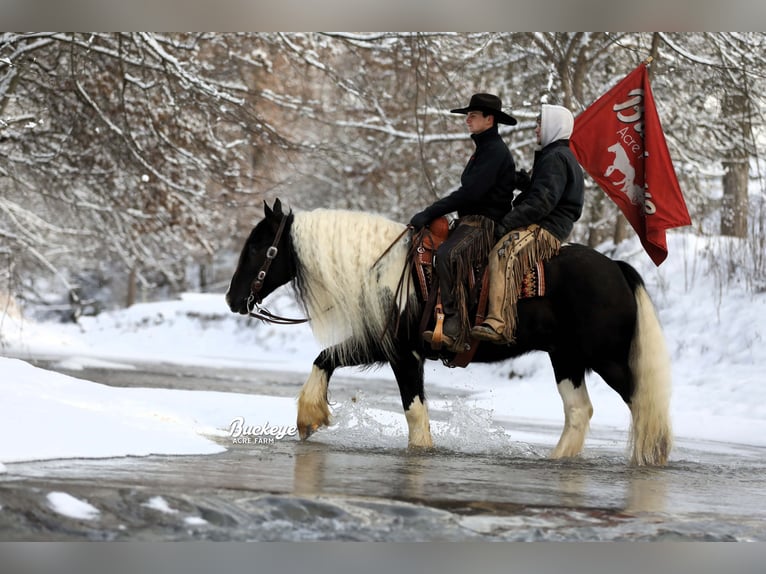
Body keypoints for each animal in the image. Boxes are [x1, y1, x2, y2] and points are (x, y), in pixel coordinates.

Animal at [226, 200, 672, 466]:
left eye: (259, 247)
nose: (233, 298)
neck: (383, 270)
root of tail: (617, 267)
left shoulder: (402, 353)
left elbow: (414, 410)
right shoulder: (382, 344)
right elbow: (326, 358)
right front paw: (309, 416)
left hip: (607, 359)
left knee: (643, 403)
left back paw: (651, 456)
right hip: (566, 358)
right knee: (579, 411)